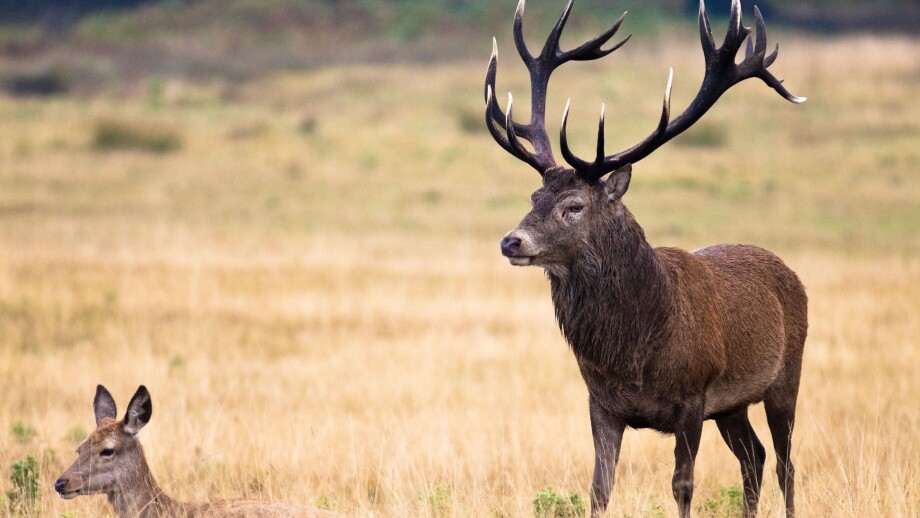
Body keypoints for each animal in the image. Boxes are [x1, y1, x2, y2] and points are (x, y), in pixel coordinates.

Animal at [484, 1, 807, 517]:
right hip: (731, 405)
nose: (511, 242)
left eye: (574, 206)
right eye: (534, 196)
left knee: (784, 463)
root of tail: (791, 275)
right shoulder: (600, 403)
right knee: (753, 457)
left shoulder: (693, 397)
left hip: (785, 377)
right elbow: (599, 487)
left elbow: (683, 484)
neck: (634, 352)